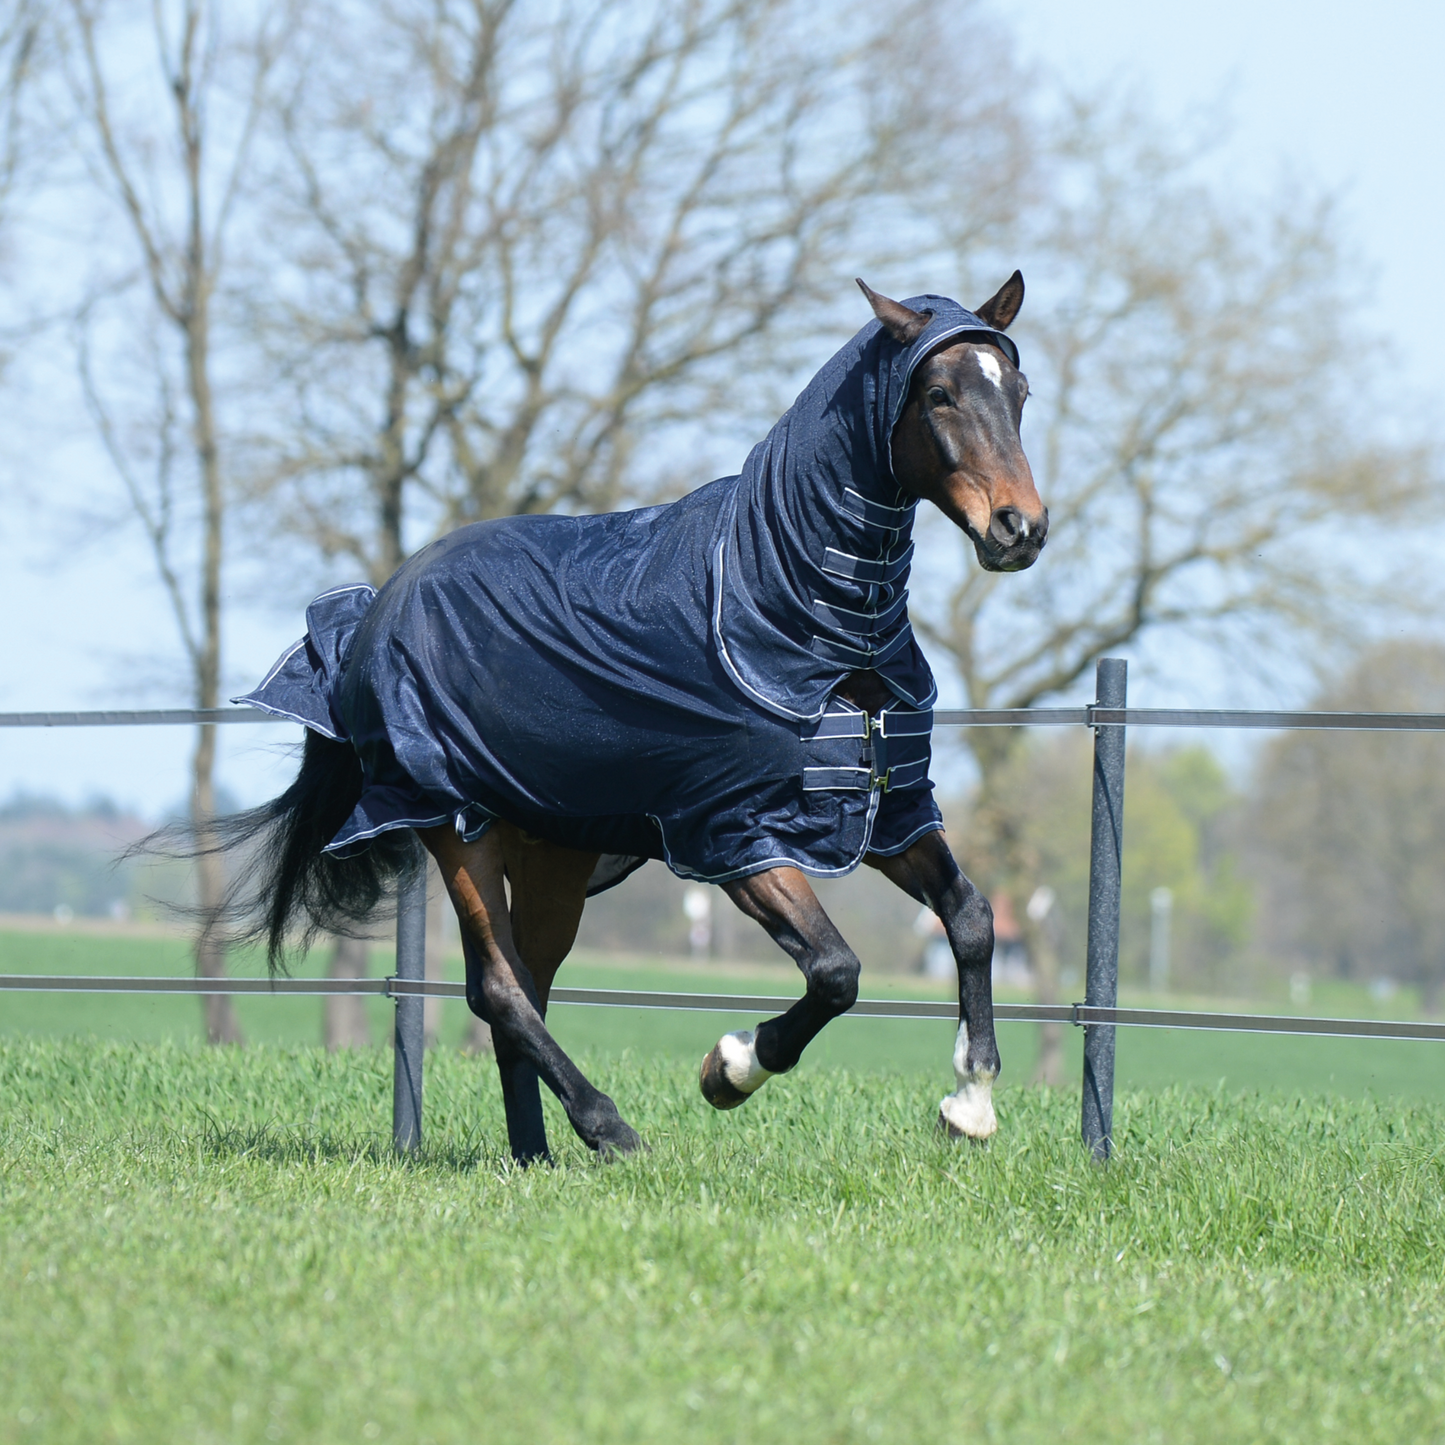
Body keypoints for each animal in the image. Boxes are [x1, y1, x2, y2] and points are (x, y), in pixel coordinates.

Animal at [222, 278, 1040, 1161]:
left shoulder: (885, 811)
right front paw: (728, 1069)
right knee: (502, 989)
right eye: (939, 394)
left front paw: (970, 1102)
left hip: (552, 853)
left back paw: (534, 1155)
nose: (1019, 528)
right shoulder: (733, 834)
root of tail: (372, 612)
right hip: (455, 826)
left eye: (1019, 391)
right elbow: (834, 970)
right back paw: (609, 1130)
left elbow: (971, 918)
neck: (784, 606)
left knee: (522, 989)